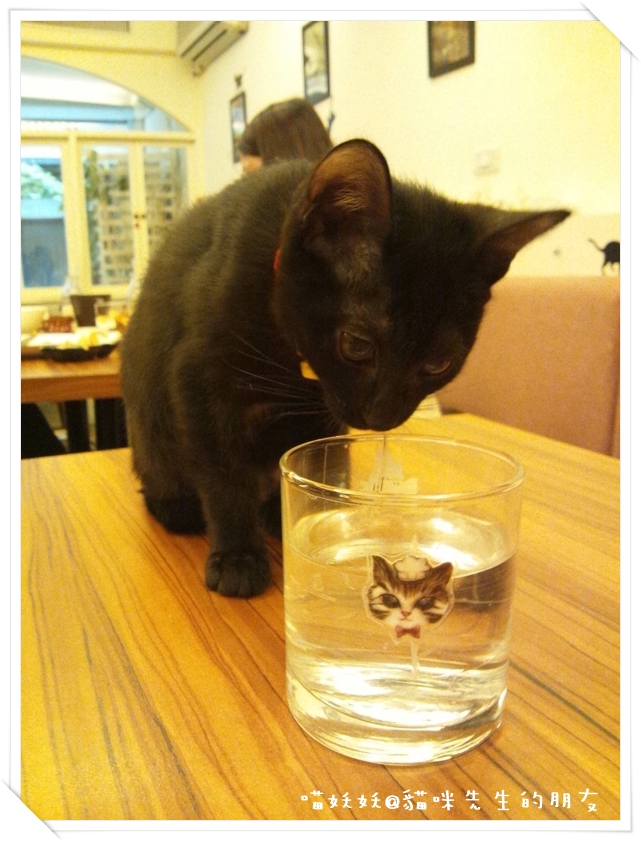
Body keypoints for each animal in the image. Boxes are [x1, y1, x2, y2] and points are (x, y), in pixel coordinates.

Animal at [120, 138, 569, 598]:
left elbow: (319, 458)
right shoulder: (196, 378)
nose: (383, 416)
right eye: (356, 345)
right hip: (153, 429)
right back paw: (180, 507)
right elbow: (223, 472)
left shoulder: (320, 411)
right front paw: (237, 555)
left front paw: (302, 512)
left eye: (440, 363)